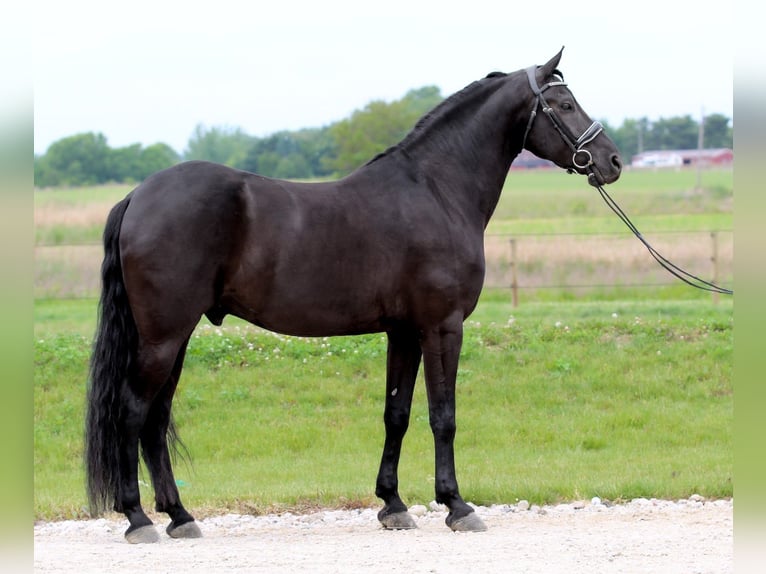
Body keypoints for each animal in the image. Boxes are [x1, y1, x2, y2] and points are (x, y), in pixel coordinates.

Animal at [85, 48, 622, 543]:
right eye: (565, 103)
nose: (611, 161)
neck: (436, 190)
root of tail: (137, 196)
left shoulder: (403, 332)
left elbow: (396, 414)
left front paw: (393, 504)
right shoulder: (442, 327)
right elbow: (443, 416)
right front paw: (456, 505)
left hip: (174, 337)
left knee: (156, 420)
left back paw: (179, 516)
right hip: (164, 336)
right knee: (133, 412)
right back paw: (138, 519)